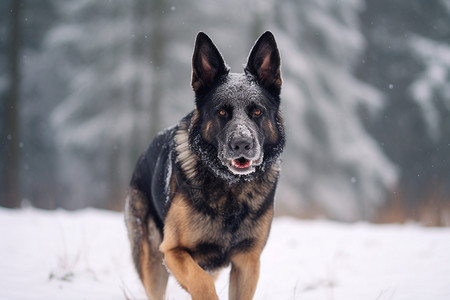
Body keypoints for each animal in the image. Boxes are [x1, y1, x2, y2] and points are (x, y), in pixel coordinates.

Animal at [125, 31, 284, 298]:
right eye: (221, 112)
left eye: (257, 112)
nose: (242, 144)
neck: (231, 187)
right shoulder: (173, 252)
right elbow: (202, 282)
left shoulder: (247, 262)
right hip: (153, 263)